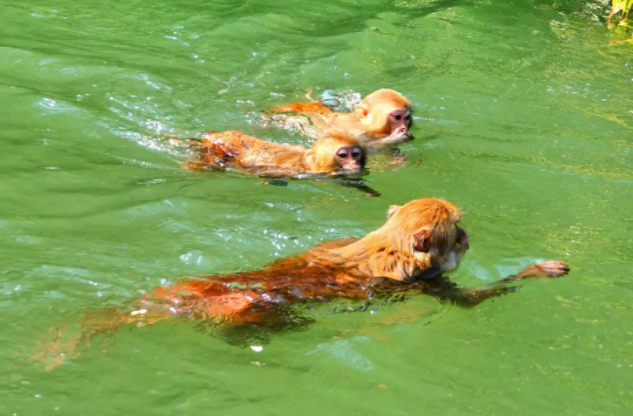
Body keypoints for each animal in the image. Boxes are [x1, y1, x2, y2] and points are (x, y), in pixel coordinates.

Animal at [32, 200, 572, 368]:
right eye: (456, 231)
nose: (469, 237)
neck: (390, 246)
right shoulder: (428, 285)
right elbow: (473, 300)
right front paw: (535, 271)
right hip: (239, 306)